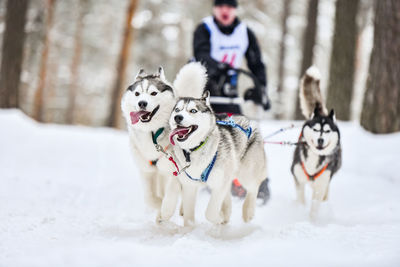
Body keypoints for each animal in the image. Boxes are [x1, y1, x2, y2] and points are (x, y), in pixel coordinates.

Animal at [120, 67, 180, 222]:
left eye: (153, 93)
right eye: (137, 93)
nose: (142, 103)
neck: (153, 133)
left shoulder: (174, 170)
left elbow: (170, 194)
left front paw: (165, 211)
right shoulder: (146, 170)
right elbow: (149, 197)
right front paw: (158, 207)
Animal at [167, 63, 268, 226]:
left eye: (193, 110)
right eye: (177, 110)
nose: (178, 117)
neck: (194, 150)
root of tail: (248, 120)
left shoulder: (219, 185)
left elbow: (210, 213)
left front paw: (218, 219)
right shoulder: (190, 186)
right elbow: (189, 215)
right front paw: (189, 227)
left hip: (246, 173)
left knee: (254, 187)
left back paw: (248, 211)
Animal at [292, 66, 342, 219]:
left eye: (327, 131)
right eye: (315, 129)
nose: (320, 139)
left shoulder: (321, 183)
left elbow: (315, 205)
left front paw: (311, 220)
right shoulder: (298, 179)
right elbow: (301, 200)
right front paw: (299, 212)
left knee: (326, 191)